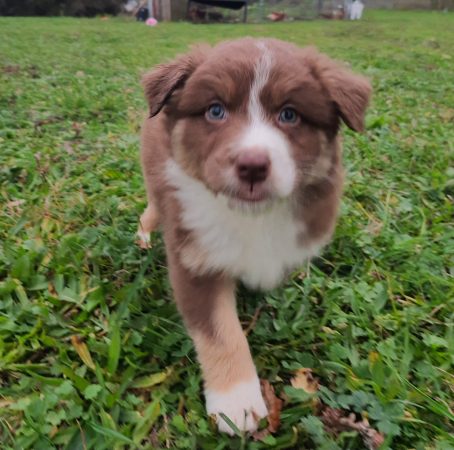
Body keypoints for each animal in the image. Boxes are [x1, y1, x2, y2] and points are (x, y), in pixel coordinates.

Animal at [137, 37, 370, 432]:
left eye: (289, 115)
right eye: (215, 111)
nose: (252, 166)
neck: (251, 217)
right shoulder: (195, 260)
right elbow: (221, 334)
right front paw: (237, 404)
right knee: (149, 212)